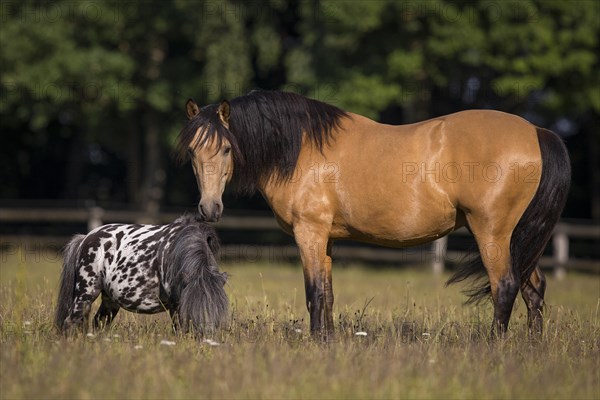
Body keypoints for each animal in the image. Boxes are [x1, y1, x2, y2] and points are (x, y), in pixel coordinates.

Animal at [55, 214, 229, 336]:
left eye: (218, 309)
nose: (206, 338)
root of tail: (85, 238)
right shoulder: (176, 304)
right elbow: (178, 330)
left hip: (110, 300)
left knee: (99, 323)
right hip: (85, 294)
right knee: (71, 322)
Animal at [179, 90, 572, 334]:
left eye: (226, 149)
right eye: (194, 152)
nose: (209, 208)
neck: (301, 148)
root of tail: (536, 131)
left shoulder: (309, 233)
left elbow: (313, 294)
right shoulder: (326, 239)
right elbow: (327, 294)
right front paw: (328, 343)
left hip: (492, 232)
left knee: (504, 287)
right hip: (518, 238)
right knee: (533, 288)